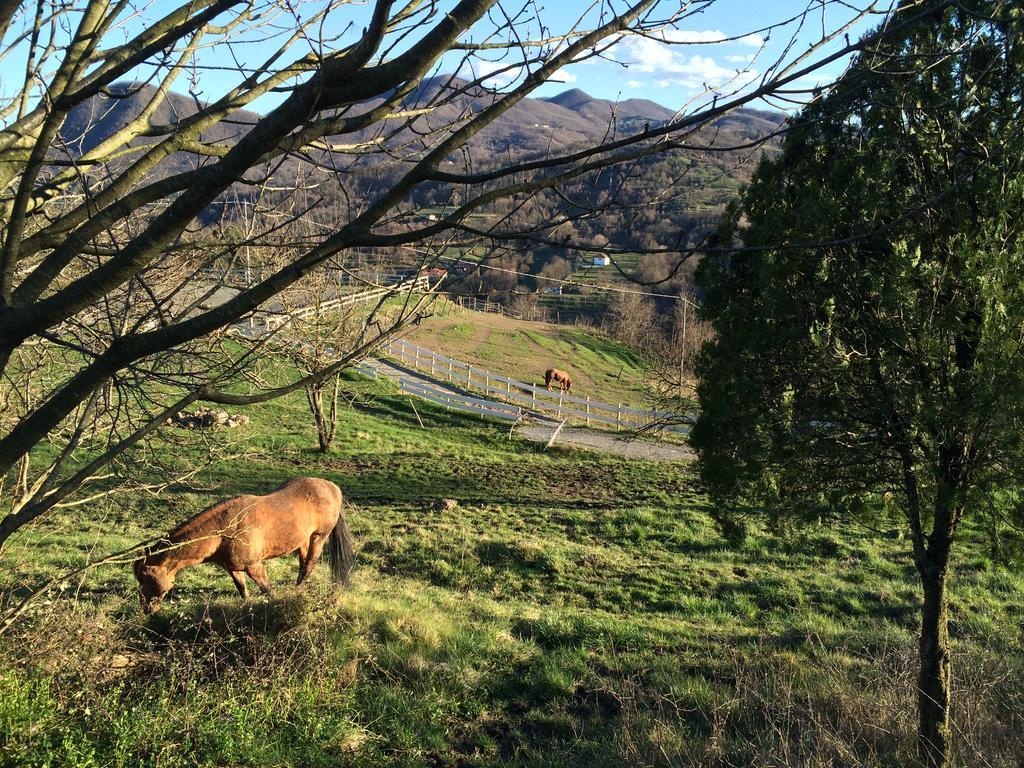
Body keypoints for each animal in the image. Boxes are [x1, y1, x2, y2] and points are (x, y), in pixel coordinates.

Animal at [135, 479, 356, 618]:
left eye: (148, 581)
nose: (147, 610)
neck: (224, 530)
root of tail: (333, 487)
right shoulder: (233, 568)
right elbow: (242, 589)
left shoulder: (254, 566)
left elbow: (268, 590)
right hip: (302, 541)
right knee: (303, 566)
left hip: (319, 537)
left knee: (309, 565)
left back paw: (298, 590)